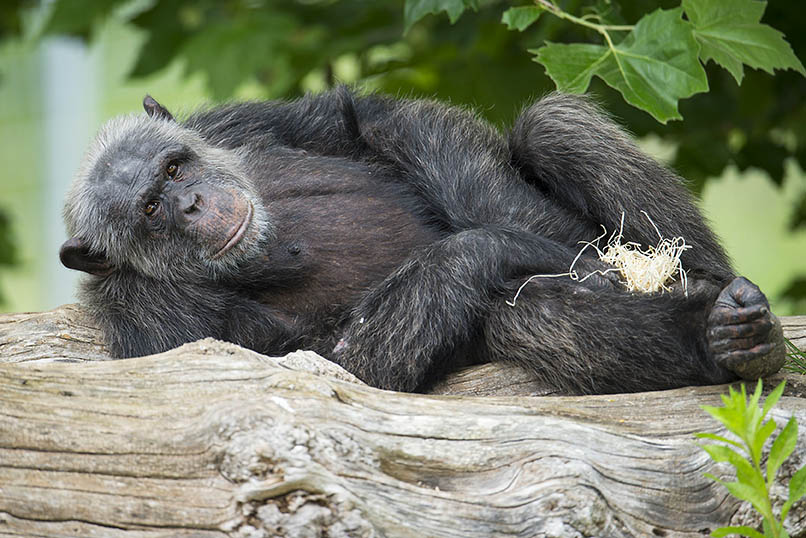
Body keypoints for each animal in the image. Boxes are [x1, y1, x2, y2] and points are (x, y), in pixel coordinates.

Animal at [60, 86, 784, 392]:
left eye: (173, 167)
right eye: (150, 209)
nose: (190, 202)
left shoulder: (236, 120)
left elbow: (371, 119)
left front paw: (544, 233)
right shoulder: (157, 324)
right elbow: (334, 369)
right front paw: (508, 247)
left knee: (551, 124)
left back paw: (716, 294)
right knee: (526, 312)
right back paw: (715, 341)